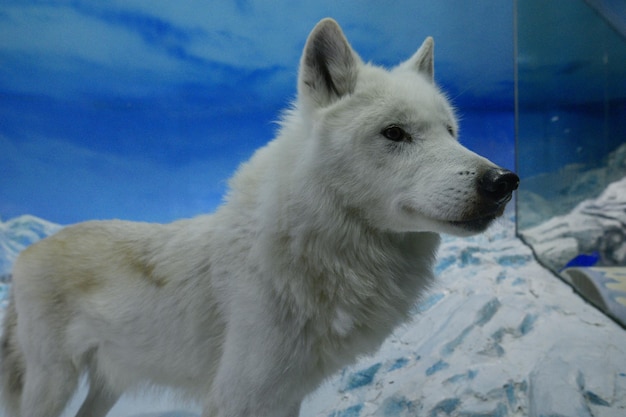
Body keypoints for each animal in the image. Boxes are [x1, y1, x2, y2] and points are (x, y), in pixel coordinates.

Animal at [0, 17, 516, 416]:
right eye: (395, 133)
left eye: (451, 132)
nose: (504, 181)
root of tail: (26, 252)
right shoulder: (240, 397)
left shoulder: (286, 396)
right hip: (53, 383)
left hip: (106, 386)